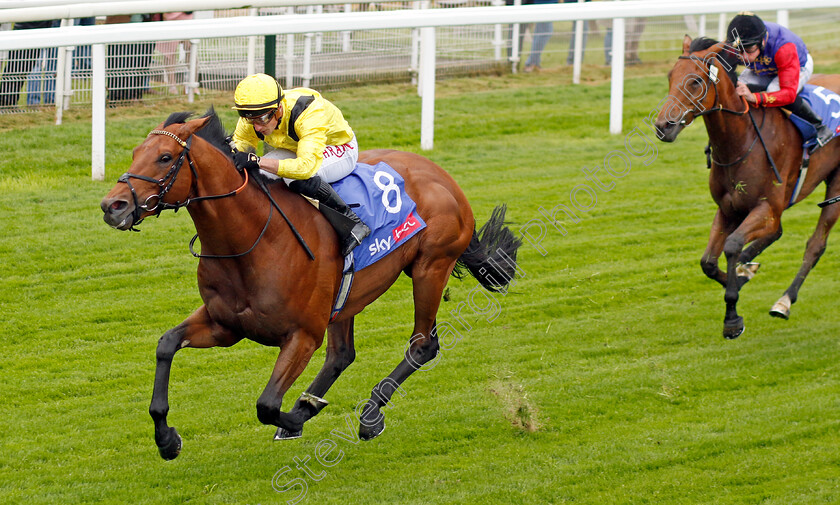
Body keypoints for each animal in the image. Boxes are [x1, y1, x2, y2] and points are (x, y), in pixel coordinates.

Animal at [98, 108, 520, 458]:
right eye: (135, 152)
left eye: (165, 157)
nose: (112, 206)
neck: (253, 241)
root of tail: (441, 174)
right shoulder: (225, 325)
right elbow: (166, 344)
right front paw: (167, 439)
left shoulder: (302, 335)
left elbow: (267, 405)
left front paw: (300, 416)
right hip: (348, 297)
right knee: (342, 355)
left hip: (431, 267)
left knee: (423, 345)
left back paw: (369, 414)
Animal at [656, 36, 840, 338]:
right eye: (671, 77)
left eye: (695, 81)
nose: (663, 126)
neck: (741, 141)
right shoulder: (728, 209)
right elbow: (708, 262)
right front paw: (742, 275)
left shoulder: (766, 208)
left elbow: (732, 246)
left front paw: (732, 317)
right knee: (778, 233)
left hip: (835, 183)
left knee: (815, 245)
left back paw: (784, 300)